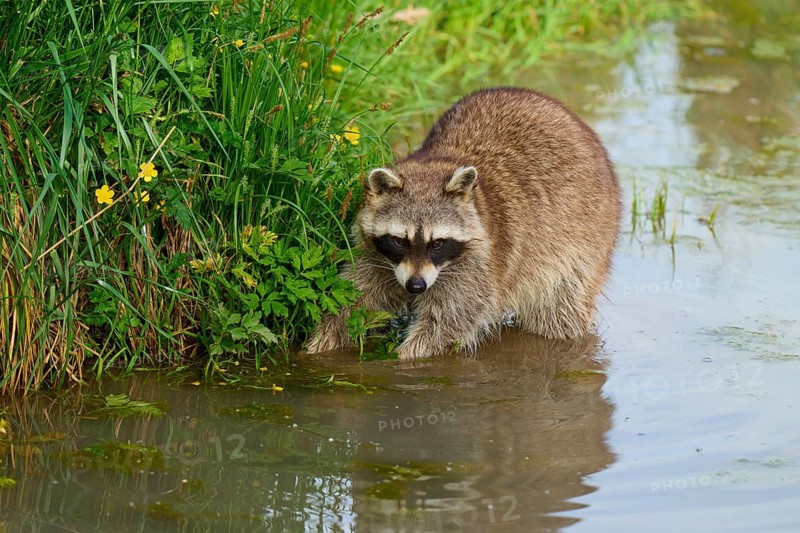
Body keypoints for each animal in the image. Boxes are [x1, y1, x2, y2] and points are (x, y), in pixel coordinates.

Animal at [307, 87, 621, 360]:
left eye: (437, 243)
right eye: (399, 240)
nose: (416, 286)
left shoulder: (477, 265)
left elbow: (450, 321)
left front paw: (403, 358)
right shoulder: (374, 255)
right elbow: (355, 297)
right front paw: (323, 343)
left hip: (583, 244)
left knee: (560, 312)